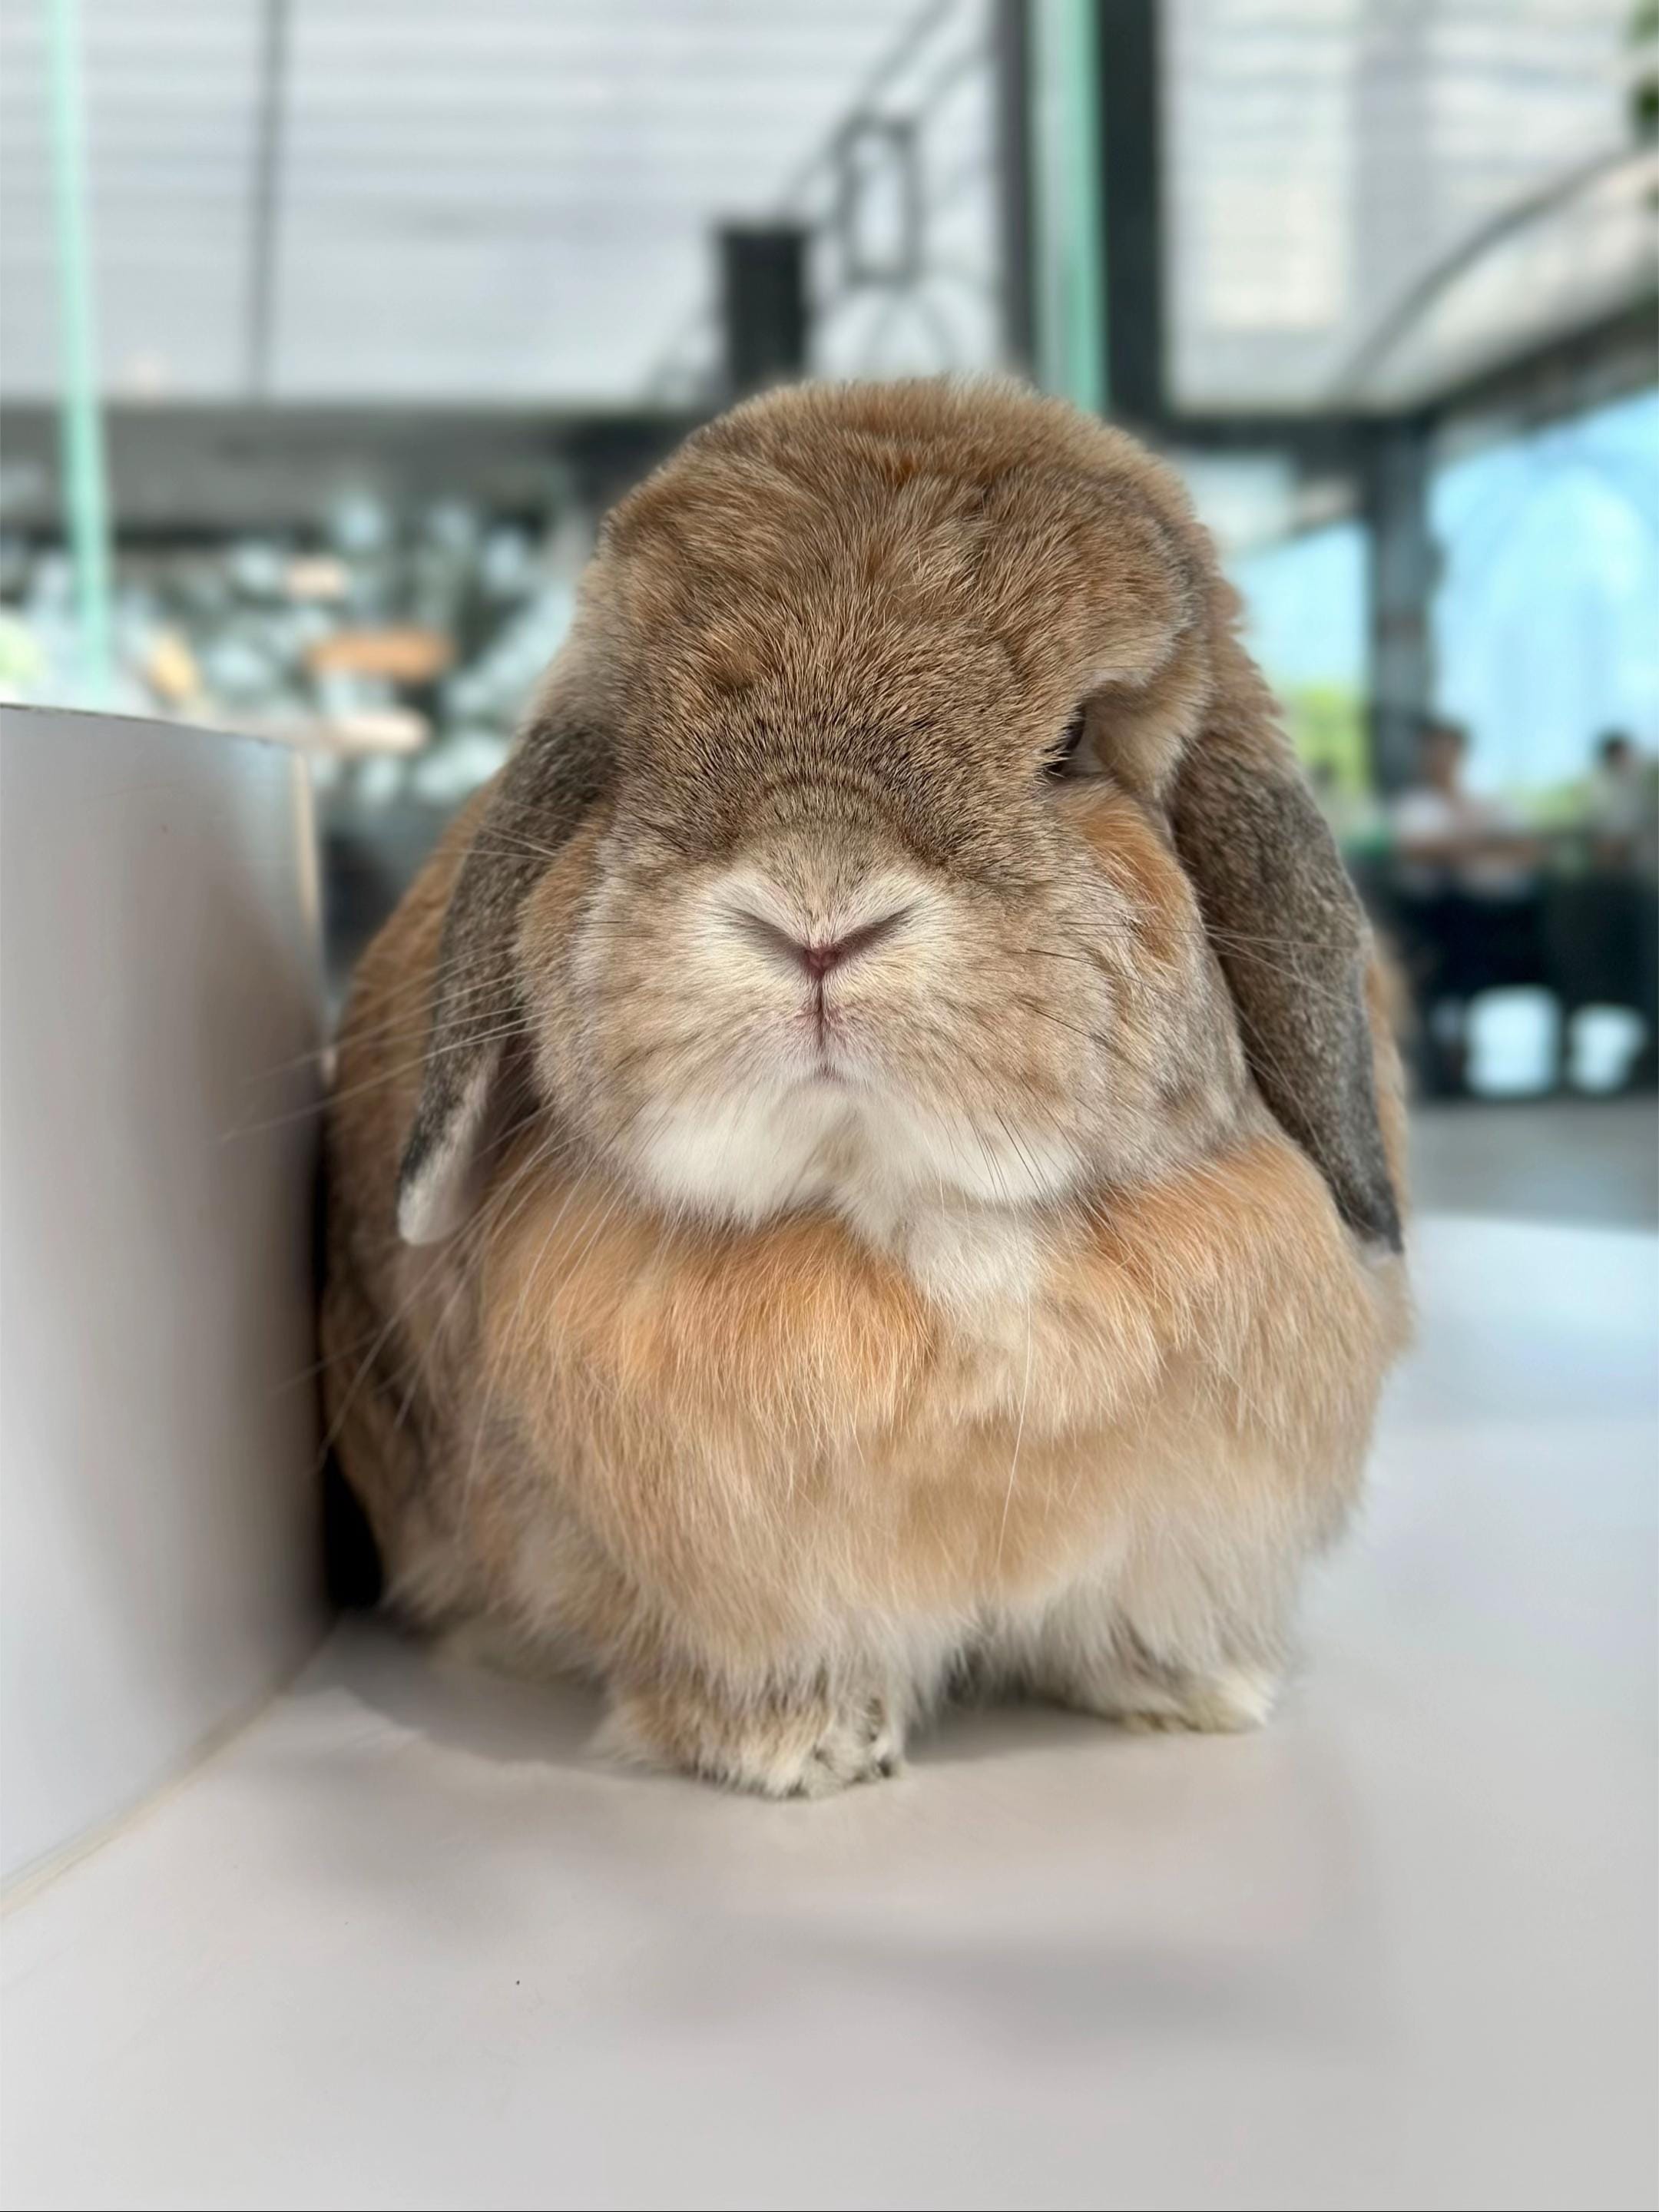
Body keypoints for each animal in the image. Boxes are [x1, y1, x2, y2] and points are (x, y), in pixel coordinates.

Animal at [322, 378, 1409, 1797]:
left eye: (1073, 746)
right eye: (630, 751)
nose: (819, 913)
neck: (924, 1229)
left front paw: (1194, 1691)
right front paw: (805, 1748)